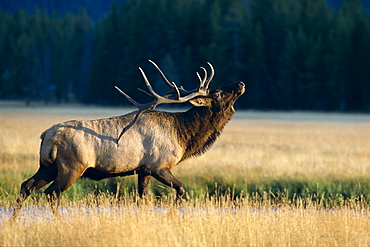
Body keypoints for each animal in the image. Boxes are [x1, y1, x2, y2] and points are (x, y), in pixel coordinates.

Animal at [11, 60, 244, 219]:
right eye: (218, 94)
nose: (241, 83)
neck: (183, 135)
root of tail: (46, 136)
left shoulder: (143, 170)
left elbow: (143, 199)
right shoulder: (159, 166)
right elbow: (180, 190)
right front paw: (170, 216)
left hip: (47, 166)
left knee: (26, 186)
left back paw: (13, 222)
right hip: (71, 167)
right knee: (51, 194)